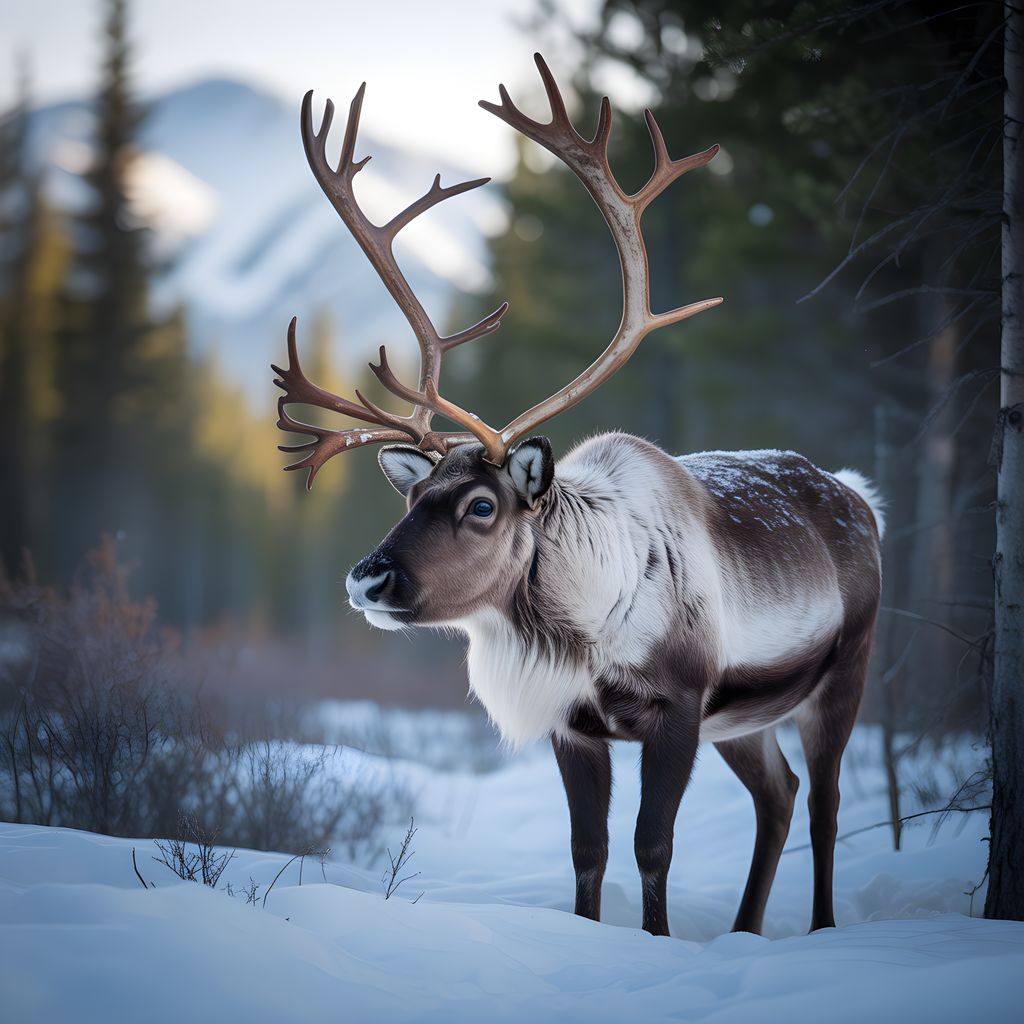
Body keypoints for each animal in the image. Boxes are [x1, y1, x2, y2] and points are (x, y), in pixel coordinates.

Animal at [273, 55, 884, 939]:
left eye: (482, 506)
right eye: (413, 497)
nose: (368, 578)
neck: (580, 629)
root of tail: (859, 497)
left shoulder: (678, 706)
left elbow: (653, 845)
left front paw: (658, 942)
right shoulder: (575, 726)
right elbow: (587, 852)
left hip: (844, 671)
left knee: (826, 801)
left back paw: (821, 929)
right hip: (745, 718)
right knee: (780, 795)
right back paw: (742, 931)